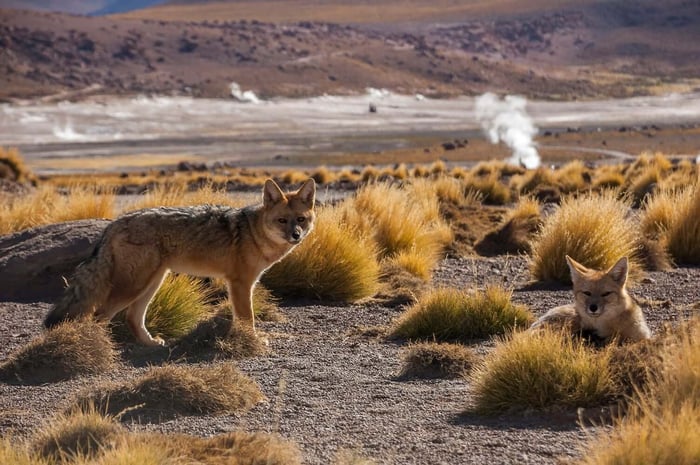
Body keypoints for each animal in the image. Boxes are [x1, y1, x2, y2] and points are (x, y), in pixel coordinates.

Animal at [44, 178, 316, 346]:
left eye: (301, 219)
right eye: (282, 221)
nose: (296, 235)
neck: (253, 231)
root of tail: (114, 223)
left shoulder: (241, 283)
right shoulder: (240, 283)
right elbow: (247, 318)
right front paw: (253, 341)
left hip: (152, 282)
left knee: (132, 317)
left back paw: (150, 343)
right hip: (135, 286)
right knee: (99, 315)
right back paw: (101, 348)